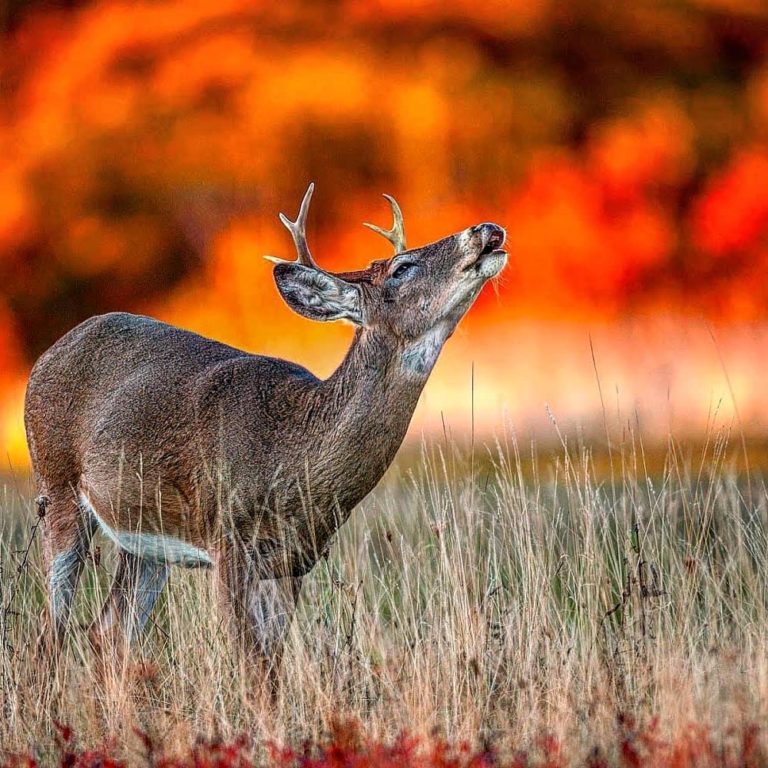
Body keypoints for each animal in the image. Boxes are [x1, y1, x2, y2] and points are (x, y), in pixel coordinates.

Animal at [24, 184, 508, 684]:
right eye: (402, 268)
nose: (487, 230)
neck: (295, 455)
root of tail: (48, 354)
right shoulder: (228, 541)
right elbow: (252, 667)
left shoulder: (294, 563)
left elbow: (270, 670)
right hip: (56, 486)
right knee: (49, 632)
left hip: (145, 538)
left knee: (108, 633)